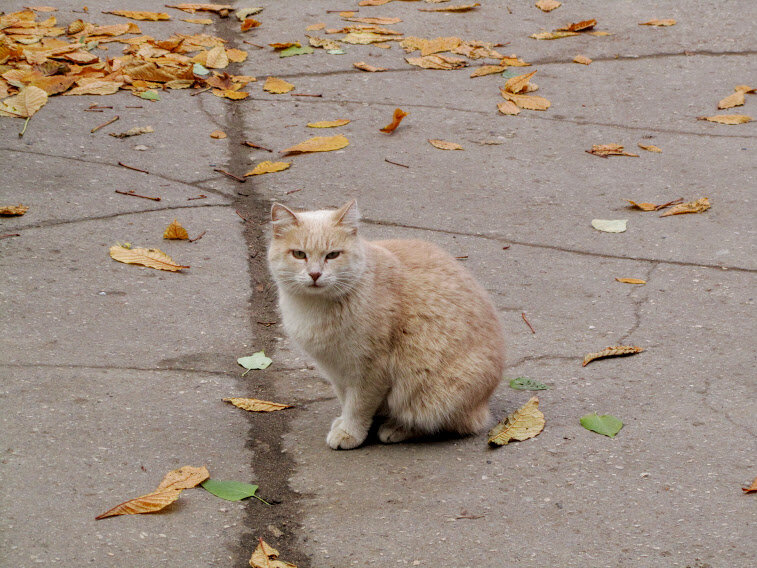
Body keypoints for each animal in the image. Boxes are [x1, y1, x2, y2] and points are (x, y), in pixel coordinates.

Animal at [268, 202, 504, 450]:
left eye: (332, 255)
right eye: (299, 254)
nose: (315, 274)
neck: (315, 309)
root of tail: (484, 405)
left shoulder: (371, 369)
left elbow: (358, 406)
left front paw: (349, 432)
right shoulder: (336, 369)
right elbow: (345, 399)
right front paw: (346, 422)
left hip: (432, 395)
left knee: (446, 424)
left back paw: (397, 428)